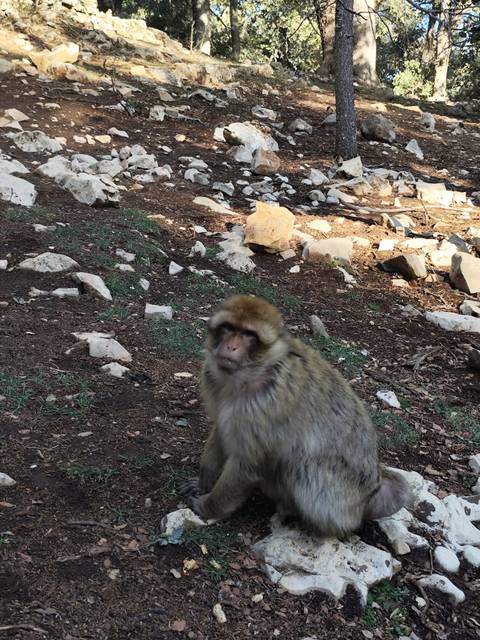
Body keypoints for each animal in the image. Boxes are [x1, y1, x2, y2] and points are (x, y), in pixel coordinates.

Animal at [178, 295, 410, 538]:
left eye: (249, 335)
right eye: (228, 328)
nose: (231, 346)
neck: (253, 371)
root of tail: (371, 494)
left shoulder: (264, 405)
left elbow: (249, 462)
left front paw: (207, 506)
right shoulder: (213, 380)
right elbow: (221, 431)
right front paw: (202, 482)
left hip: (338, 501)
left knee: (299, 465)